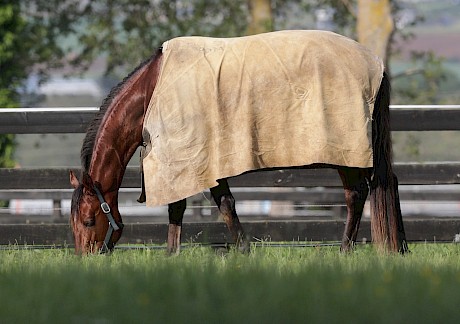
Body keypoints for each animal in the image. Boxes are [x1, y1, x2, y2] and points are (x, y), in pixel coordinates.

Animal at [68, 30, 406, 254]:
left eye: (88, 220)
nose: (87, 259)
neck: (152, 91)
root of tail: (375, 64)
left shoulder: (192, 159)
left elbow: (215, 205)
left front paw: (239, 250)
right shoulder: (192, 162)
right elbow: (195, 207)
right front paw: (175, 255)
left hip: (347, 152)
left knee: (356, 195)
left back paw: (345, 250)